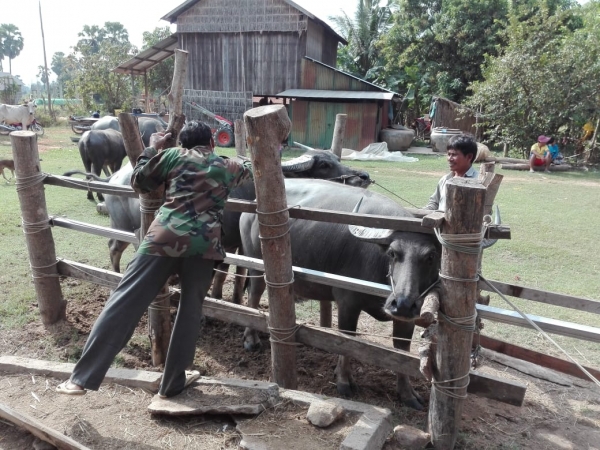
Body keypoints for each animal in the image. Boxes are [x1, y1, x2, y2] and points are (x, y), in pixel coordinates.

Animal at [239, 179, 441, 409]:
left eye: (431, 256)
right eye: (392, 253)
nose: (403, 303)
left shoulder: (408, 317)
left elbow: (402, 350)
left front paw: (407, 393)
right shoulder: (347, 302)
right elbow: (347, 340)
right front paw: (344, 381)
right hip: (256, 267)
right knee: (254, 297)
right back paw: (251, 339)